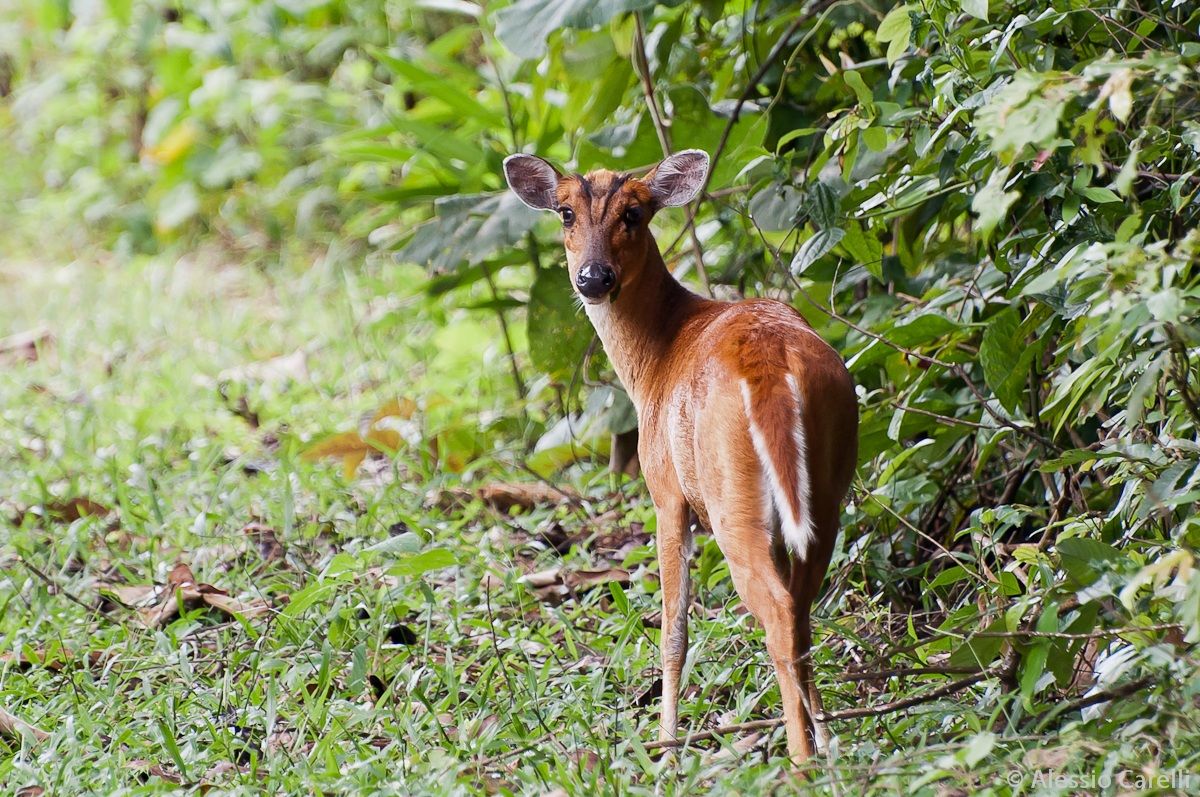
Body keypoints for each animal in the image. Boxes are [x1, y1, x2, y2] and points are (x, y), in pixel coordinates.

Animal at [503, 149, 859, 765]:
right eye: (566, 212)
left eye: (634, 213)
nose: (593, 278)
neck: (654, 360)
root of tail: (771, 366)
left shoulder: (666, 490)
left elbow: (673, 630)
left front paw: (666, 750)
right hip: (826, 487)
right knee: (802, 610)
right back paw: (827, 745)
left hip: (729, 493)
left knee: (777, 613)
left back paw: (800, 762)